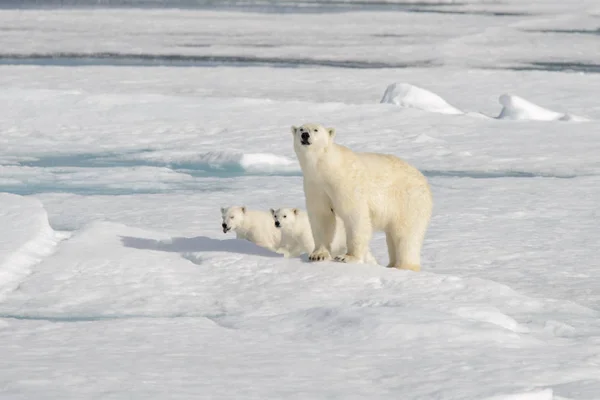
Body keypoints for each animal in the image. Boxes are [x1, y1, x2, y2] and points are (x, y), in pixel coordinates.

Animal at [290, 122, 432, 272]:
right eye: (301, 129)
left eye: (316, 130)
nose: (305, 135)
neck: (325, 167)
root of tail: (424, 181)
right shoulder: (315, 185)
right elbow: (322, 215)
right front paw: (318, 255)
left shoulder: (345, 183)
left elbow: (355, 215)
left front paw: (347, 257)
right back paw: (392, 264)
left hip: (408, 201)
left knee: (406, 235)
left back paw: (404, 266)